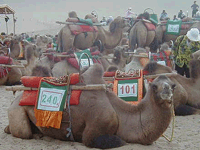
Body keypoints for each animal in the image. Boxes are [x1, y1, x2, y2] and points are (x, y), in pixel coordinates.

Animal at [4, 63, 176, 149]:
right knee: (23, 132)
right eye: (155, 86)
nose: (167, 91)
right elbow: (117, 141)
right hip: (17, 111)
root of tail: (15, 100)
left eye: (173, 85)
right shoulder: (95, 130)